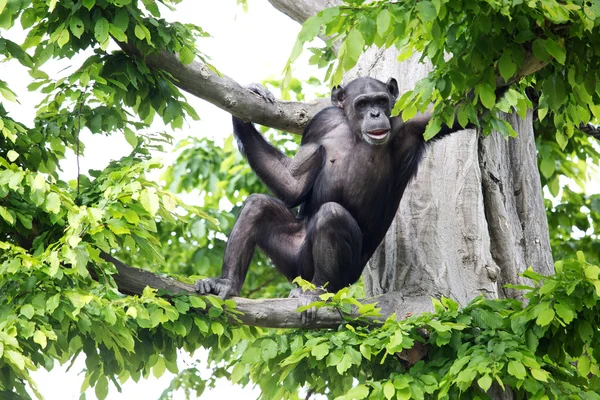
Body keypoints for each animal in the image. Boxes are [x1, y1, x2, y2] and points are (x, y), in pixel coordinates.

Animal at [197, 76, 474, 298]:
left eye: (381, 101)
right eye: (363, 103)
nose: (375, 114)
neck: (354, 131)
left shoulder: (413, 123)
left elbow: (462, 110)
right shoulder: (321, 124)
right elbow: (292, 184)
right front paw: (244, 109)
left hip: (343, 275)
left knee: (331, 215)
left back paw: (317, 291)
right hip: (293, 259)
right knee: (258, 205)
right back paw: (226, 284)